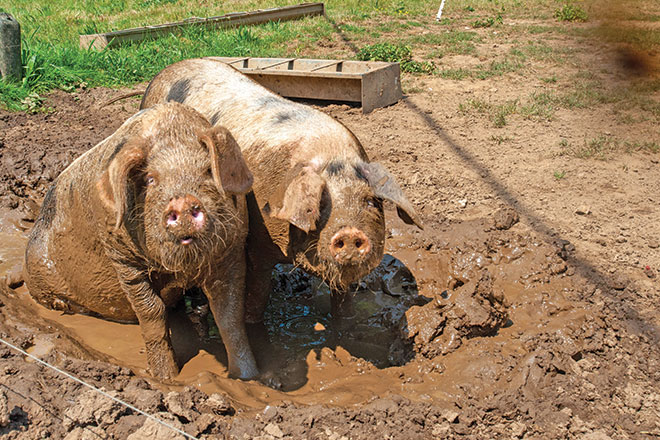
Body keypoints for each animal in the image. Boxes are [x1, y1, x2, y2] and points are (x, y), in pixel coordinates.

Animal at [24, 102, 259, 380]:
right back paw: (62, 304)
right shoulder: (121, 257)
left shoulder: (233, 250)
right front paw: (166, 378)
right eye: (150, 179)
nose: (182, 202)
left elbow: (230, 316)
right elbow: (151, 312)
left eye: (207, 171)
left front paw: (249, 378)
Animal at [140, 58, 423, 322]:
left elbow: (342, 301)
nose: (350, 233)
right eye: (322, 204)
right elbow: (256, 294)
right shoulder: (257, 242)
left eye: (370, 202)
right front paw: (253, 324)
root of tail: (164, 72)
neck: (331, 155)